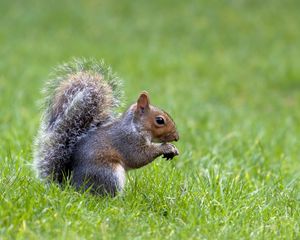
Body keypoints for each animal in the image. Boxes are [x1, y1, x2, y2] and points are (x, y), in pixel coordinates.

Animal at [33, 58, 178, 197]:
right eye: (160, 120)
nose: (177, 137)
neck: (134, 127)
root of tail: (71, 186)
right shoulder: (128, 141)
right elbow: (139, 157)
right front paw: (166, 147)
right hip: (108, 173)